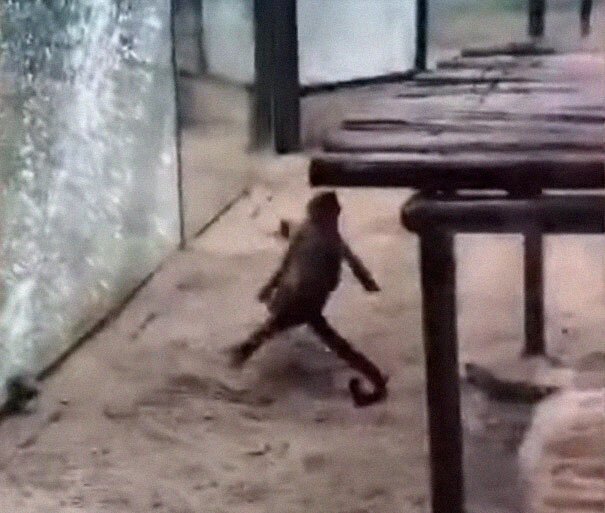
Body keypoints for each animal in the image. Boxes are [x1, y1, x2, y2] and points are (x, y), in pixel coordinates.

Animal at [226, 190, 386, 406]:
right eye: (328, 196)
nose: (332, 192)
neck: (317, 225)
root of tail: (308, 310)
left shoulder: (303, 237)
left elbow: (281, 269)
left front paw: (264, 293)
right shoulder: (331, 240)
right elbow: (336, 273)